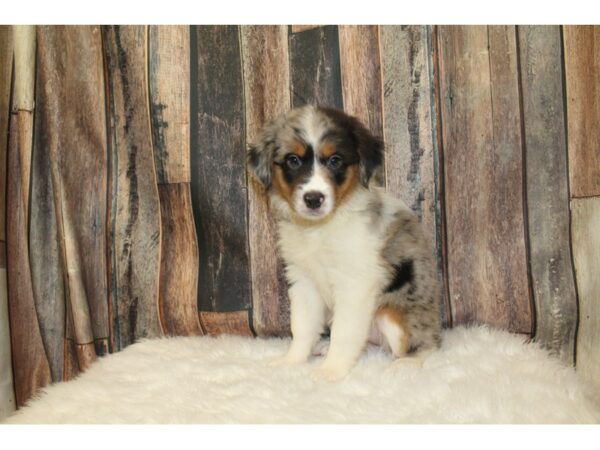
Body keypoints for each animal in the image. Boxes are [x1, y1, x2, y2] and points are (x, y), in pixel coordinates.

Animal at [247, 105, 440, 380]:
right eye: (293, 160)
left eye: (335, 160)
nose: (313, 199)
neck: (321, 229)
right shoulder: (304, 281)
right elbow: (302, 327)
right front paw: (292, 361)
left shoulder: (355, 284)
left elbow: (344, 332)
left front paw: (331, 370)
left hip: (393, 313)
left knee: (425, 345)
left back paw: (405, 364)